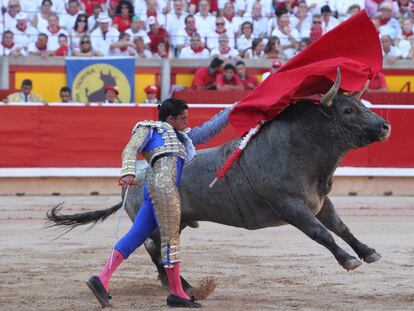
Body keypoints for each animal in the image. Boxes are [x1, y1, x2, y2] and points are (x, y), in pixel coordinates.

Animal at [47, 73, 390, 298]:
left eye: (361, 105)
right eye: (348, 110)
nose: (384, 125)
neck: (301, 151)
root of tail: (135, 178)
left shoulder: (320, 202)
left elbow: (340, 227)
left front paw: (368, 252)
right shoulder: (292, 207)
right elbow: (321, 233)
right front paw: (349, 260)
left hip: (176, 220)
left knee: (157, 249)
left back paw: (176, 284)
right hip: (157, 219)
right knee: (152, 247)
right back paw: (181, 286)